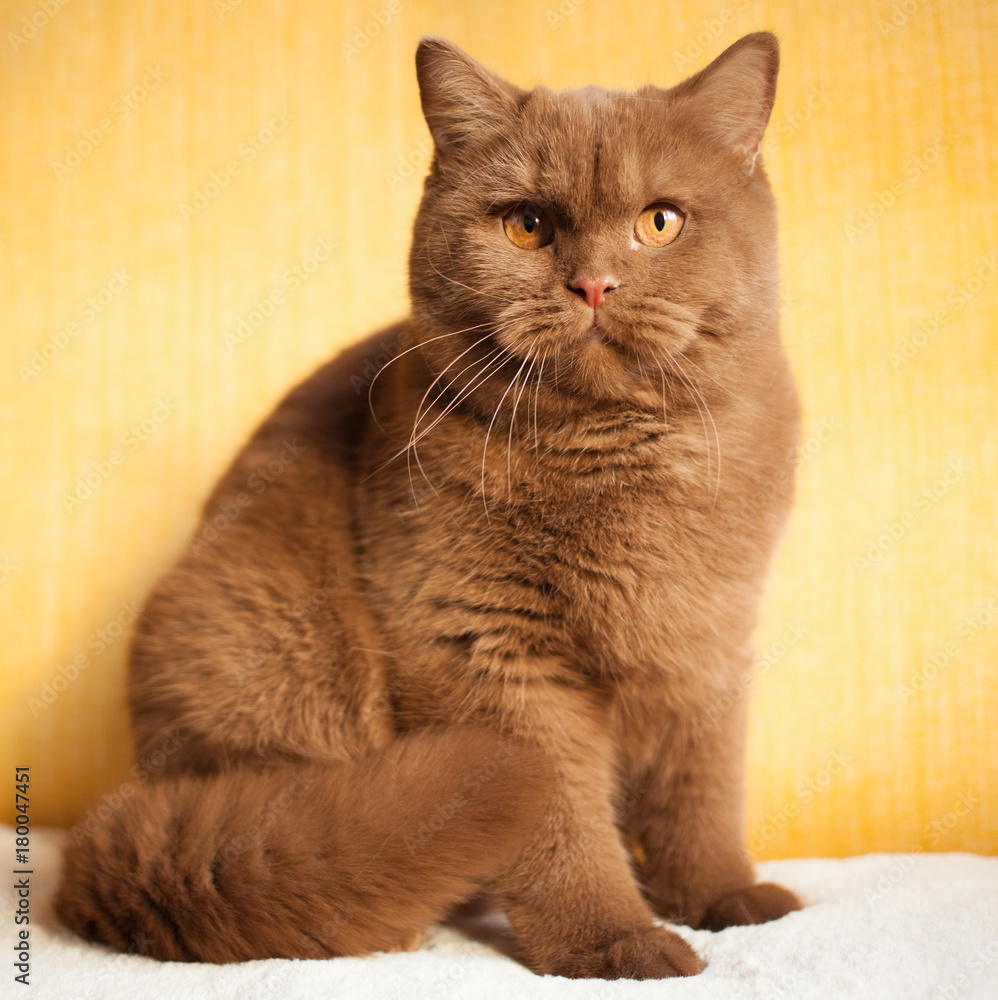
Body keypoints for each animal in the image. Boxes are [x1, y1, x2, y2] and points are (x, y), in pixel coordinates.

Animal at [54, 29, 804, 976]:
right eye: (527, 224)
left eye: (660, 221)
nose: (595, 284)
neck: (617, 461)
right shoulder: (488, 656)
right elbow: (562, 827)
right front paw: (615, 940)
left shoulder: (707, 645)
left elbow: (699, 795)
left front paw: (721, 898)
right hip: (261, 641)